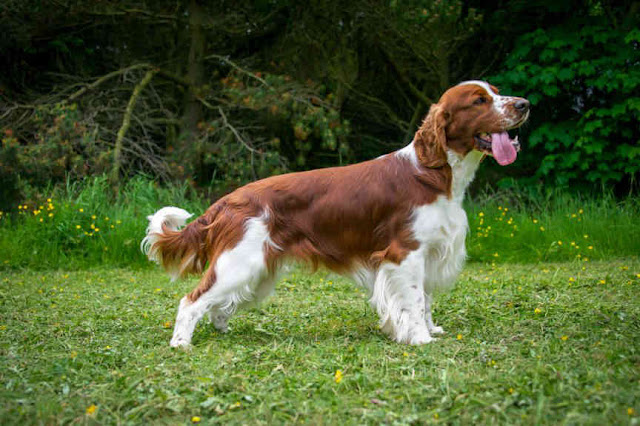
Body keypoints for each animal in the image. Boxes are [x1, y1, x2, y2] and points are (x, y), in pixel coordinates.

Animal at [142, 80, 528, 346]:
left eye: (496, 92)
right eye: (479, 100)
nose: (524, 104)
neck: (434, 174)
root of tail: (228, 200)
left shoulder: (430, 251)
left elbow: (426, 300)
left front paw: (431, 329)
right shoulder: (405, 253)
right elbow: (414, 300)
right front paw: (420, 338)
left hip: (257, 269)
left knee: (218, 305)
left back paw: (221, 328)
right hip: (239, 263)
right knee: (191, 301)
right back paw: (181, 344)